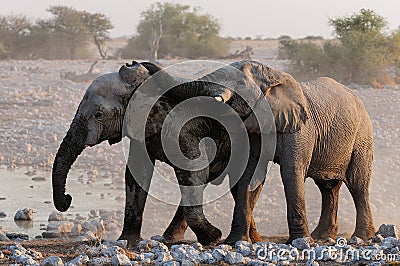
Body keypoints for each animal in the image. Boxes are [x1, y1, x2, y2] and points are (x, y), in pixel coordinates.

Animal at [52, 60, 266, 245]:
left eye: (98, 115)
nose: (68, 199)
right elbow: (137, 173)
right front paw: (128, 241)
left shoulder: (184, 127)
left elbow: (195, 170)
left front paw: (213, 237)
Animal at [192, 60, 376, 243]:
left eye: (241, 82)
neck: (273, 77)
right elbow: (250, 174)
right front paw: (236, 241)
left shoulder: (300, 129)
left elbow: (291, 172)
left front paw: (301, 241)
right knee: (328, 188)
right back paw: (322, 236)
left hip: (362, 137)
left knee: (357, 184)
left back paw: (361, 236)